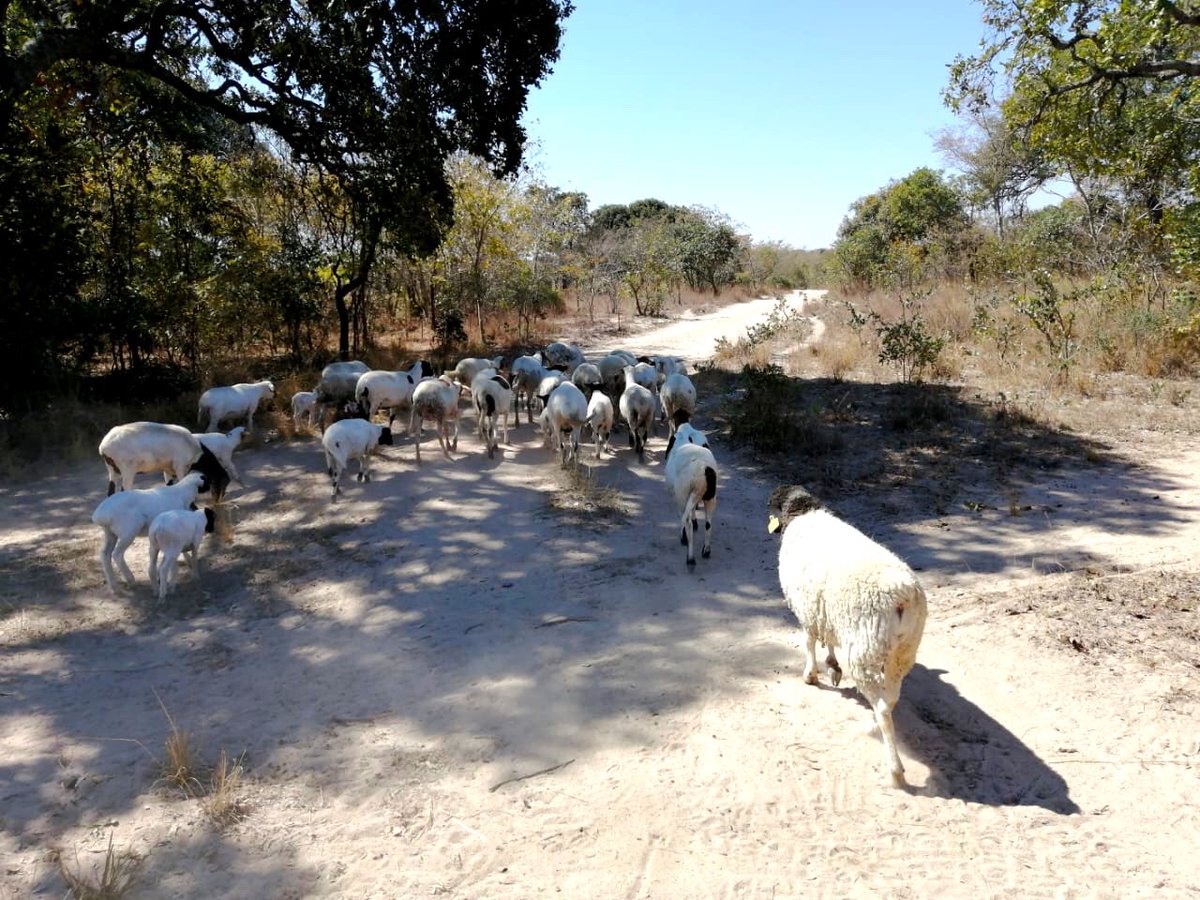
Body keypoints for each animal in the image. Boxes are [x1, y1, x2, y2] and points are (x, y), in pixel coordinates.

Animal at [99, 422, 232, 500]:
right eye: (223, 483)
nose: (218, 501)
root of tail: (104, 446)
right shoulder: (180, 466)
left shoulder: (168, 469)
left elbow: (169, 485)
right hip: (127, 468)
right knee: (124, 490)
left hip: (112, 469)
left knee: (111, 492)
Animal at [663, 429, 717, 568]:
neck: (683, 440)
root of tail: (702, 469)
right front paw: (695, 521)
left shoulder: (681, 497)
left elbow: (683, 518)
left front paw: (683, 537)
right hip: (710, 497)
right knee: (708, 524)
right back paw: (706, 551)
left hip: (683, 494)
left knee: (687, 523)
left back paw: (690, 558)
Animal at [767, 485, 928, 787]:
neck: (804, 514)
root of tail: (904, 596)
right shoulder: (826, 612)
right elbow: (827, 641)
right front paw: (832, 666)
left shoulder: (807, 611)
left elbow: (809, 642)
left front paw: (811, 675)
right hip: (902, 652)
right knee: (890, 700)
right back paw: (875, 724)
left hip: (864, 652)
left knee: (883, 707)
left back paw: (894, 769)